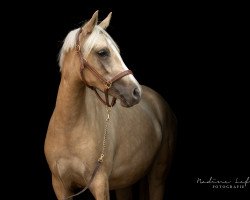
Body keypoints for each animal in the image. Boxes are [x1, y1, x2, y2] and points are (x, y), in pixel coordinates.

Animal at [44, 10, 176, 200]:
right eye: (103, 52)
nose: (135, 92)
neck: (68, 130)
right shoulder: (60, 187)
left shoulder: (99, 183)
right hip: (125, 182)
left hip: (157, 176)